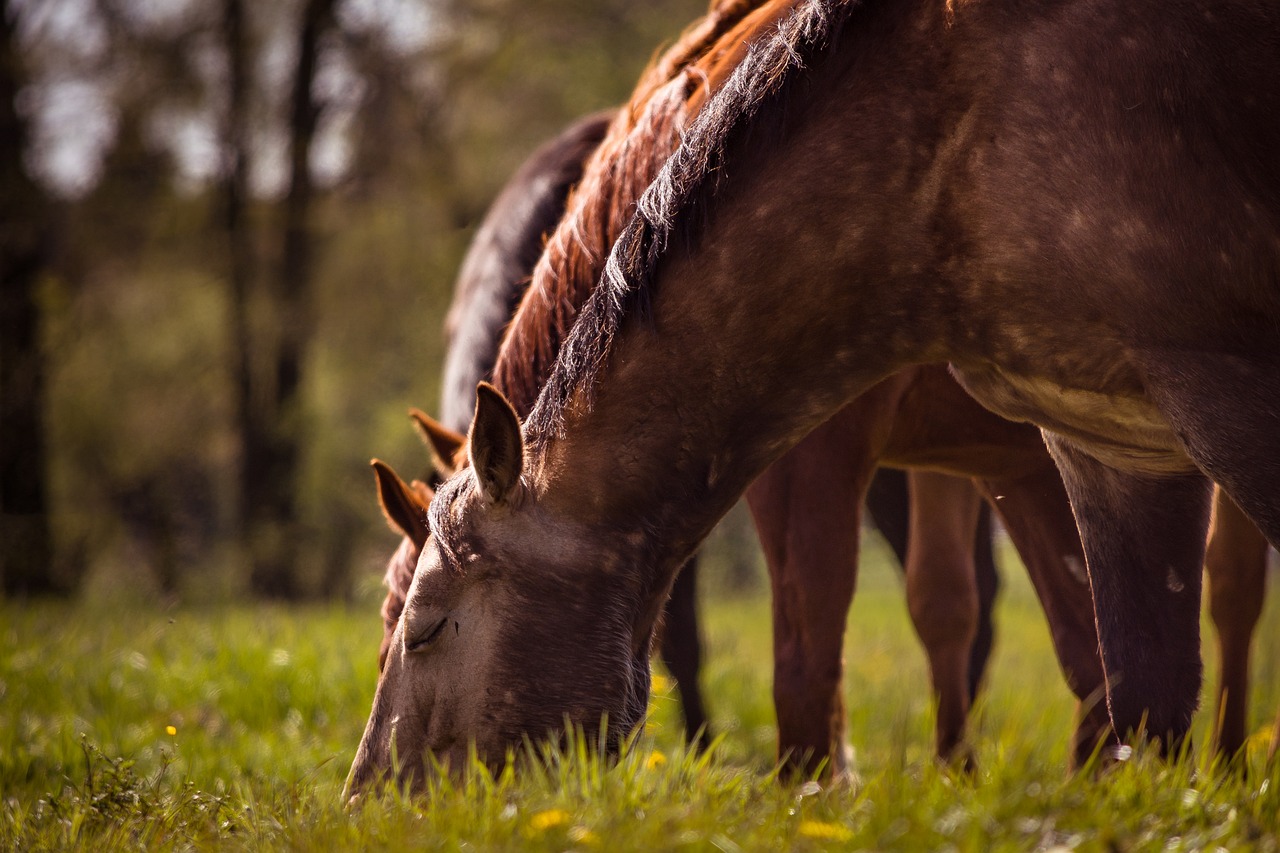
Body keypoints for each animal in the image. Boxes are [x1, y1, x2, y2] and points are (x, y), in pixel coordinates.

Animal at [345, 0, 1274, 794]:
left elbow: (810, 651)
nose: (369, 799)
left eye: (422, 629)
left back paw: (1230, 764)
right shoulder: (1021, 448)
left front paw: (814, 789)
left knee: (1233, 588)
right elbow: (995, 621)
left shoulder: (831, 450)